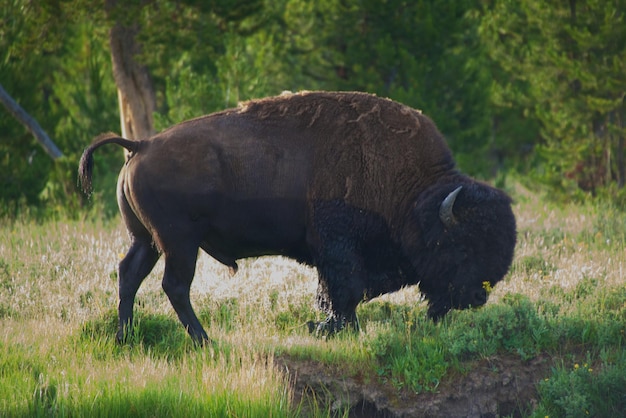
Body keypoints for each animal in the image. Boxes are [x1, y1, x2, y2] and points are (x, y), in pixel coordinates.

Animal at [78, 91, 516, 342]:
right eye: (462, 247)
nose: (477, 296)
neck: (411, 191)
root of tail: (141, 144)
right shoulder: (339, 248)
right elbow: (345, 290)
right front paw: (331, 328)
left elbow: (341, 292)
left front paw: (327, 324)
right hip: (179, 242)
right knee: (175, 286)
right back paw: (204, 341)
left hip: (147, 240)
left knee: (129, 275)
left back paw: (125, 337)